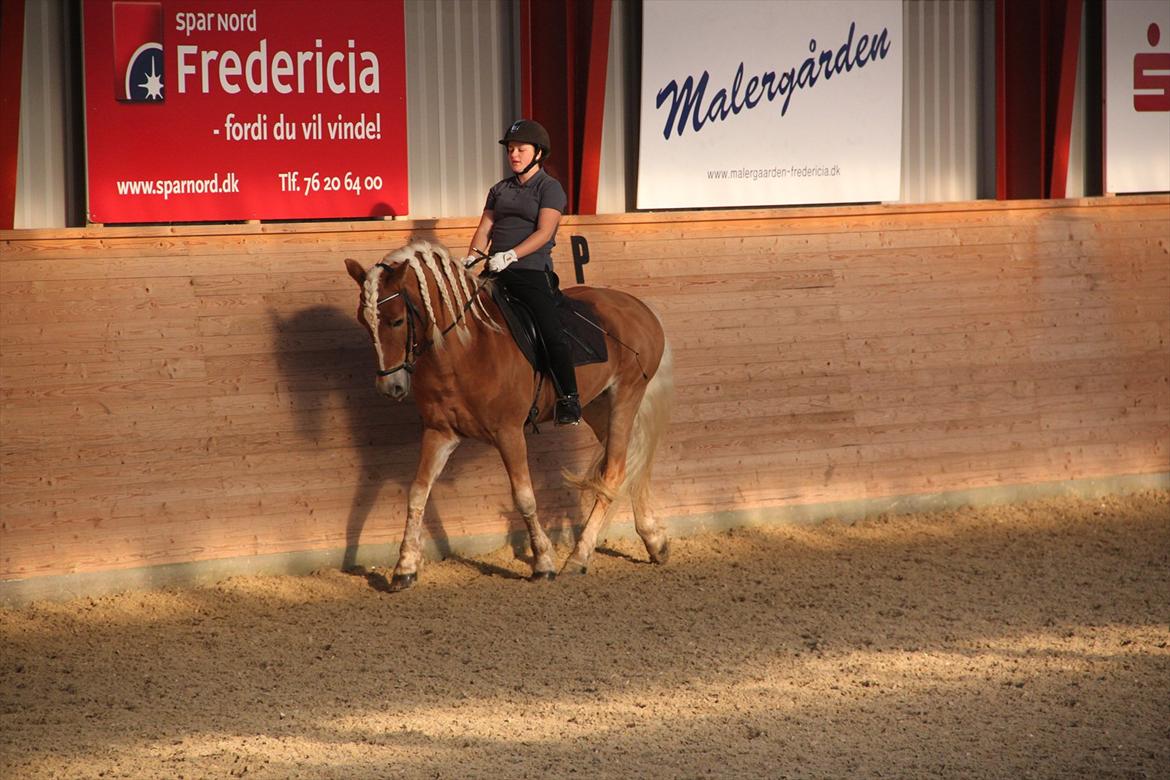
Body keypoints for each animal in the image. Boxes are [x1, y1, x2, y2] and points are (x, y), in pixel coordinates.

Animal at [341, 240, 673, 589]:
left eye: (396, 321)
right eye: (364, 322)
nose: (389, 387)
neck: (465, 349)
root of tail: (640, 308)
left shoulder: (509, 433)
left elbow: (524, 497)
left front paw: (543, 563)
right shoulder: (439, 433)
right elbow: (418, 493)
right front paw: (404, 567)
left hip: (626, 396)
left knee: (614, 472)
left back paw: (578, 557)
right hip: (598, 406)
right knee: (630, 463)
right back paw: (654, 542)